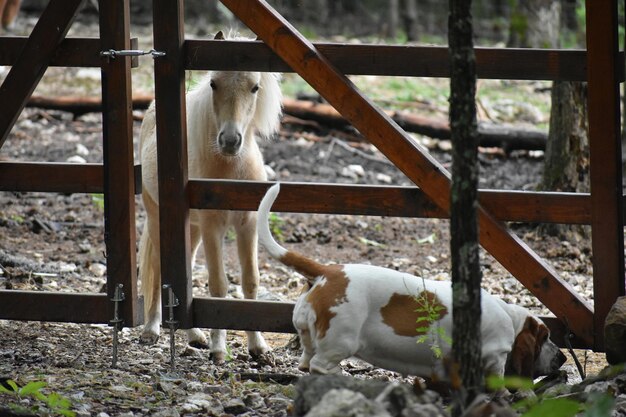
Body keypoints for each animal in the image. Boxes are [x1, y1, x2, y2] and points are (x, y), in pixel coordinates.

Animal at [139, 30, 282, 360]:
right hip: (158, 218)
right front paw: (219, 349)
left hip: (191, 229)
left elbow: (250, 281)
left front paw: (258, 347)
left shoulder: (247, 225)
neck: (230, 170)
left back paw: (195, 336)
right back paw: (151, 330)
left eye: (255, 87)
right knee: (159, 267)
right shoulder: (213, 226)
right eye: (214, 83)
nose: (230, 141)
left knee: (184, 273)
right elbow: (218, 285)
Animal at [255, 184, 564, 378]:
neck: (511, 319)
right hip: (340, 341)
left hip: (310, 338)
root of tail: (328, 272)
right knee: (321, 365)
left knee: (306, 362)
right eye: (545, 337)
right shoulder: (494, 358)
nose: (562, 358)